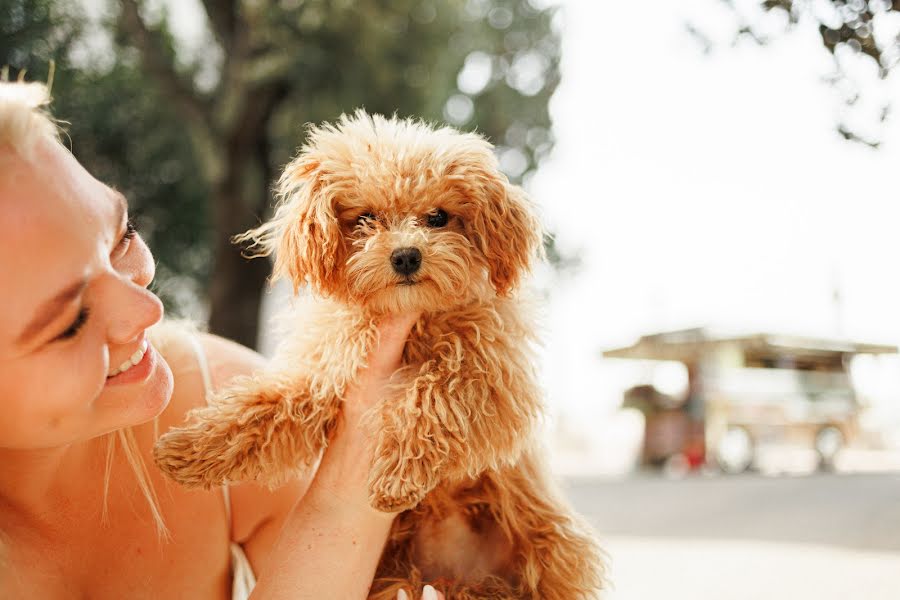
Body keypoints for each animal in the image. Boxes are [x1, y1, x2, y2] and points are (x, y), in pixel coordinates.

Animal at [155, 112, 604, 600]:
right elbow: (262, 406)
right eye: (366, 218)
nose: (406, 255)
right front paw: (188, 449)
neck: (408, 324)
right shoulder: (324, 368)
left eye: (438, 217)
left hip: (552, 546)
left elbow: (432, 397)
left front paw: (398, 477)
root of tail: (454, 577)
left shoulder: (492, 377)